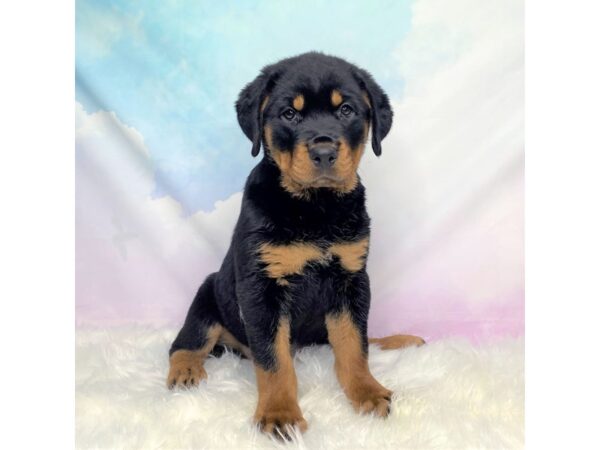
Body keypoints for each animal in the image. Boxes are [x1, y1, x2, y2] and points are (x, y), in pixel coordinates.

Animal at [166, 51, 424, 436]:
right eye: (289, 113)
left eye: (346, 110)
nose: (324, 151)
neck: (315, 206)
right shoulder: (262, 288)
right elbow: (274, 361)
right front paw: (279, 414)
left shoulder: (351, 279)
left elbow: (354, 345)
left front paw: (367, 392)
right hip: (208, 295)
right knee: (187, 342)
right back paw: (186, 371)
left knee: (362, 340)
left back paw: (398, 341)